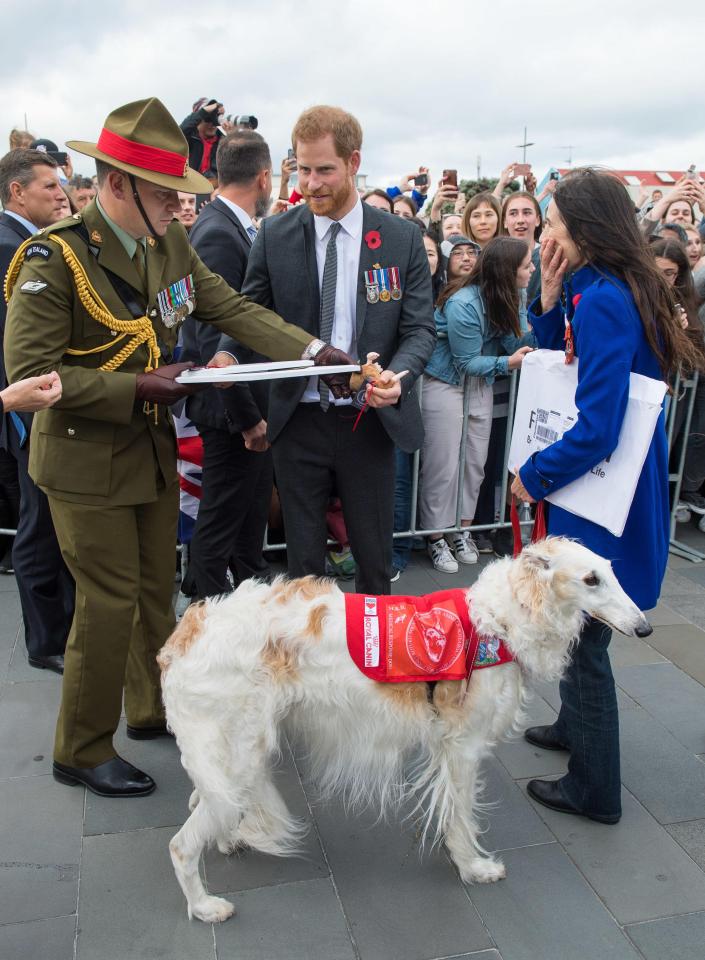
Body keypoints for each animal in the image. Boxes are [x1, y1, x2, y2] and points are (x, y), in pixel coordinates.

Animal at [158, 540, 648, 924]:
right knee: (181, 845)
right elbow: (460, 817)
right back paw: (205, 907)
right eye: (590, 579)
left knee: (203, 806)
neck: (499, 621)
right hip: (236, 757)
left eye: (612, 572)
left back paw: (228, 842)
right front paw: (474, 868)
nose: (644, 627)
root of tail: (182, 636)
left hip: (229, 761)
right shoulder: (463, 748)